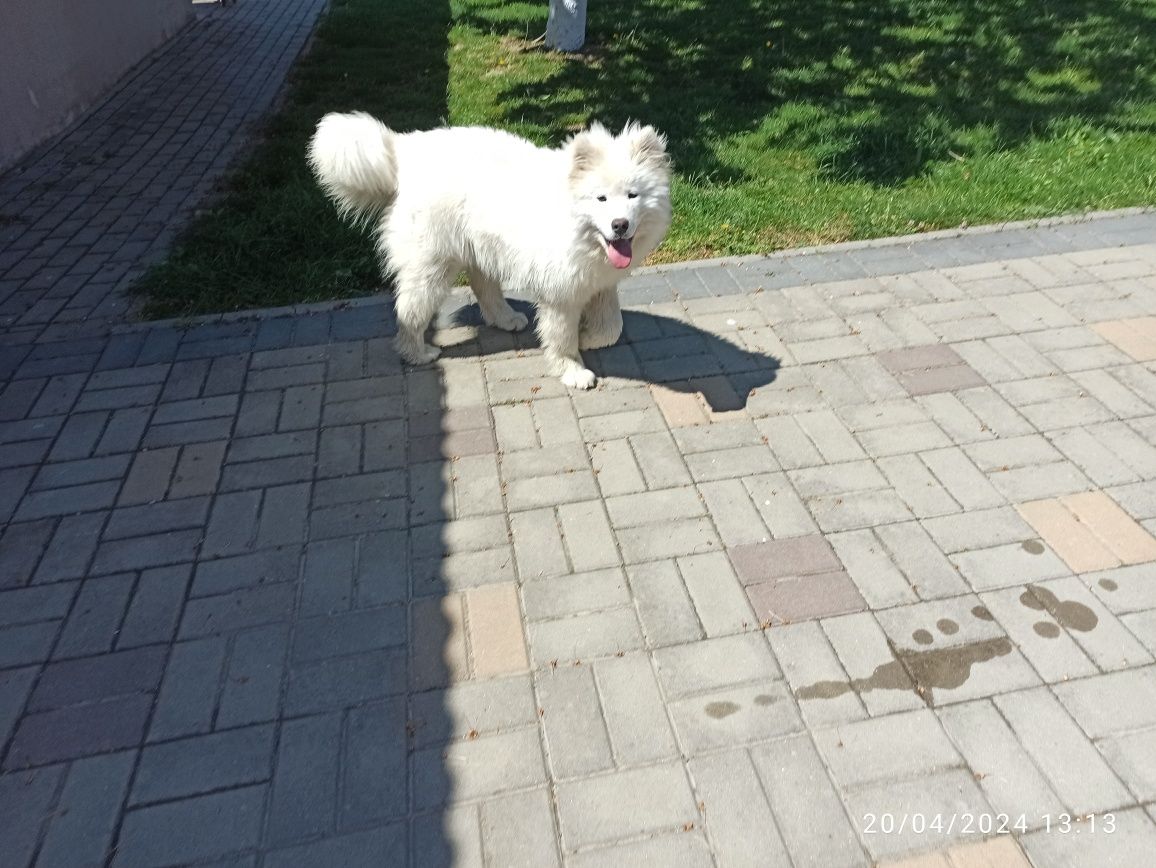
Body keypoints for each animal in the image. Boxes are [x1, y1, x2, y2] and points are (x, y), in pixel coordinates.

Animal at [307, 113, 675, 388]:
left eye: (632, 195)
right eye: (601, 198)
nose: (619, 225)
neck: (582, 231)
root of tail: (403, 150)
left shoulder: (597, 281)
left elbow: (612, 323)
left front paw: (592, 337)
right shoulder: (560, 291)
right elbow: (562, 338)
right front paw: (573, 370)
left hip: (482, 247)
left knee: (483, 288)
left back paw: (506, 318)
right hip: (432, 266)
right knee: (410, 311)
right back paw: (418, 352)